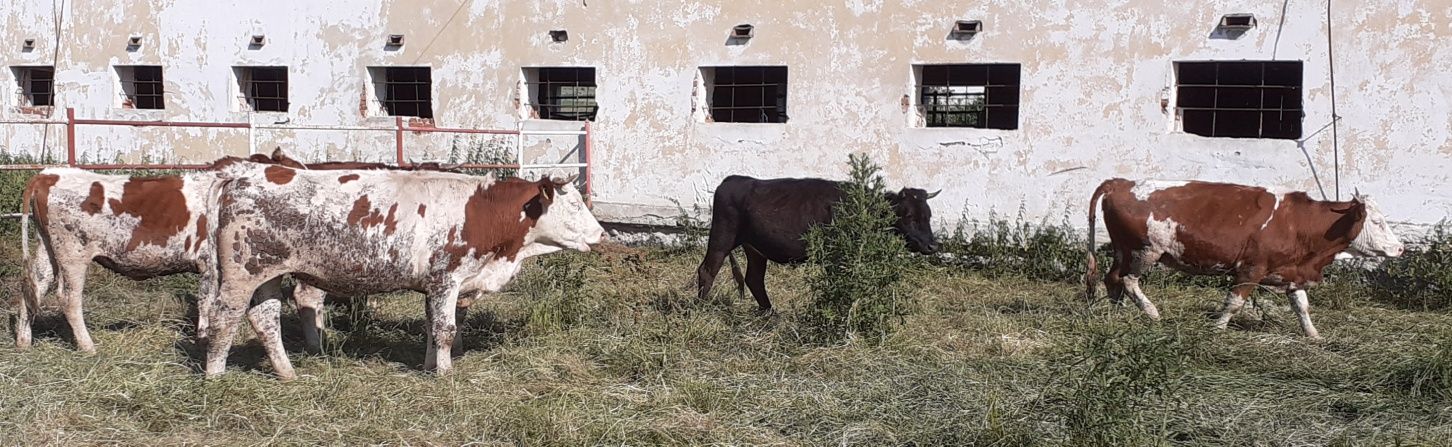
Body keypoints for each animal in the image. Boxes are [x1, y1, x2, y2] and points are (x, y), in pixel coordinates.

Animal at [202, 166, 603, 379]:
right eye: (573, 204)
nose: (601, 233)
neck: (480, 210)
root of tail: (242, 176)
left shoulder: (435, 286)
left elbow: (431, 327)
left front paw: (429, 365)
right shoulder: (446, 279)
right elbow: (446, 330)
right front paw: (445, 374)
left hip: (268, 274)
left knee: (266, 320)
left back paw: (287, 373)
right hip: (240, 275)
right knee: (224, 318)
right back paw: (215, 375)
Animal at [695, 175, 940, 311]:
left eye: (928, 215)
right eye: (909, 216)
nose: (932, 246)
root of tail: (733, 179)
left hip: (755, 248)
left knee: (754, 279)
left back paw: (771, 313)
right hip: (722, 237)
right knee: (707, 270)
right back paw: (702, 308)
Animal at [1084, 178, 1405, 338]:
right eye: (1377, 222)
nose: (1400, 248)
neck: (1298, 223)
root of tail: (1122, 182)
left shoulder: (1291, 271)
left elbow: (1302, 306)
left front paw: (1313, 335)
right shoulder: (1251, 268)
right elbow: (1234, 302)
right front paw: (1217, 328)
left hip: (1124, 250)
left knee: (1113, 279)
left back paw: (1117, 313)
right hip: (1145, 251)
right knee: (1129, 280)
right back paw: (1151, 312)